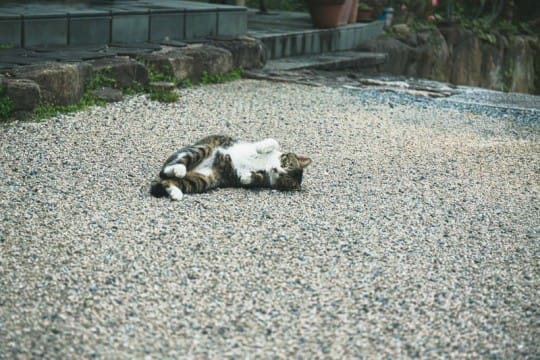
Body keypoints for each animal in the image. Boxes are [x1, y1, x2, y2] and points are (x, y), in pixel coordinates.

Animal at [152, 134, 312, 201]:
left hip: (205, 179)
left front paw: (247, 176)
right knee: (166, 169)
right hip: (203, 148)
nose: (277, 170)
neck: (267, 165)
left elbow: (256, 178)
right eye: (286, 164)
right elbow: (273, 142)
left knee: (167, 180)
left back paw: (176, 192)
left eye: (284, 178)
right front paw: (262, 148)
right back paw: (179, 169)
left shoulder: (264, 180)